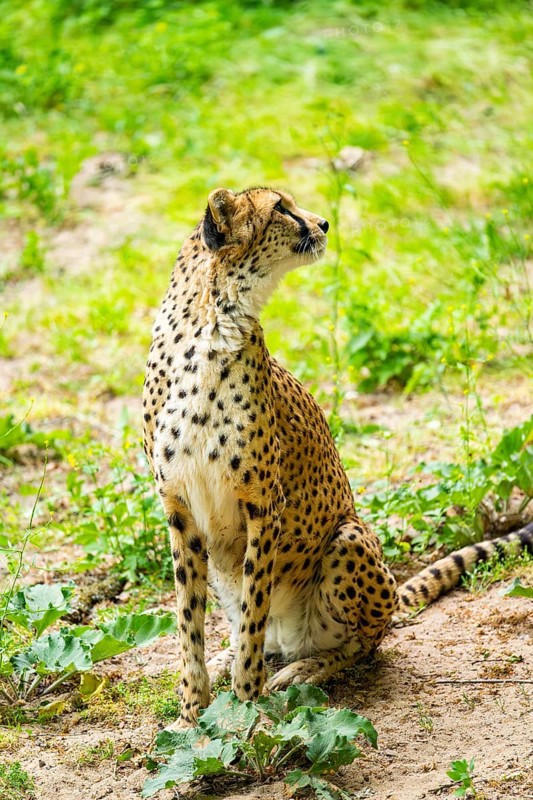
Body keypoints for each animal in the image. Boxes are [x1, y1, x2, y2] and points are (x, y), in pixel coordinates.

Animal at [142, 186, 533, 728]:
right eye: (280, 208)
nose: (324, 223)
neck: (212, 326)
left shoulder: (264, 503)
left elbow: (254, 605)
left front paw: (245, 709)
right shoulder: (179, 509)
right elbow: (188, 619)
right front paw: (191, 713)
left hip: (347, 539)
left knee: (363, 642)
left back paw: (304, 668)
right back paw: (238, 658)